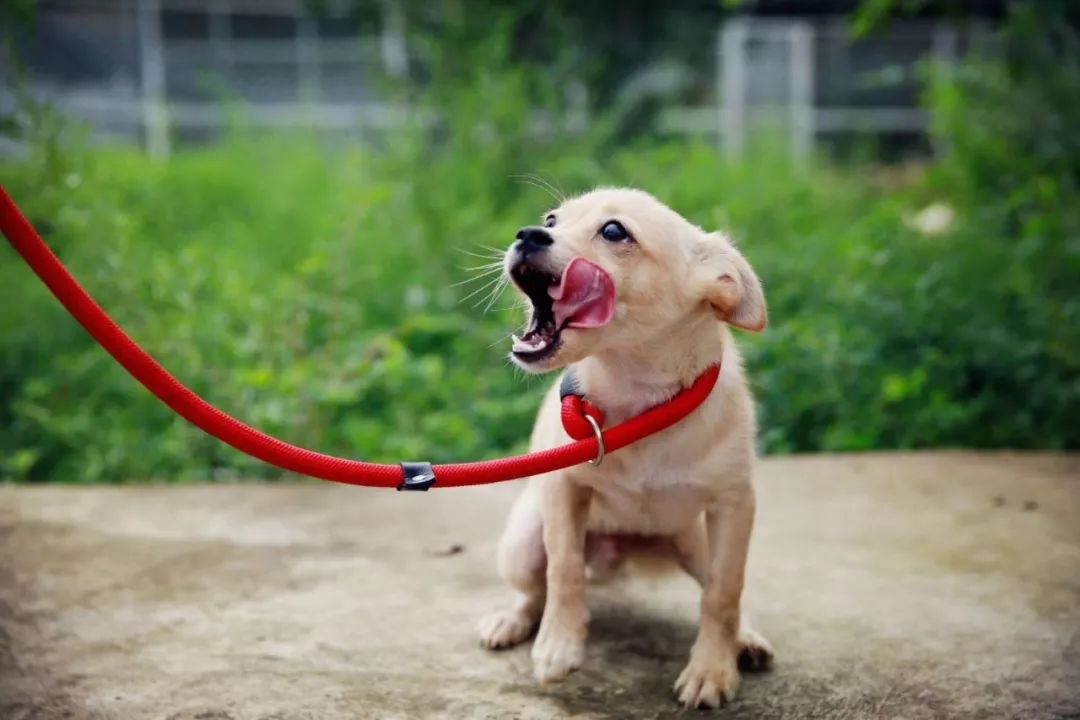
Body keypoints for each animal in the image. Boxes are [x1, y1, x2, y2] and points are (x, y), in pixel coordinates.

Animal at [477, 187, 773, 708]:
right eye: (550, 220)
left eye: (615, 231)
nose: (527, 234)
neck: (635, 398)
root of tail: (627, 550)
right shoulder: (563, 491)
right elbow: (564, 570)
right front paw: (559, 645)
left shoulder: (734, 504)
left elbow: (724, 593)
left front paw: (712, 670)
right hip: (523, 541)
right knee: (534, 589)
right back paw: (512, 621)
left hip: (696, 541)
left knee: (724, 594)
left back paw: (747, 638)